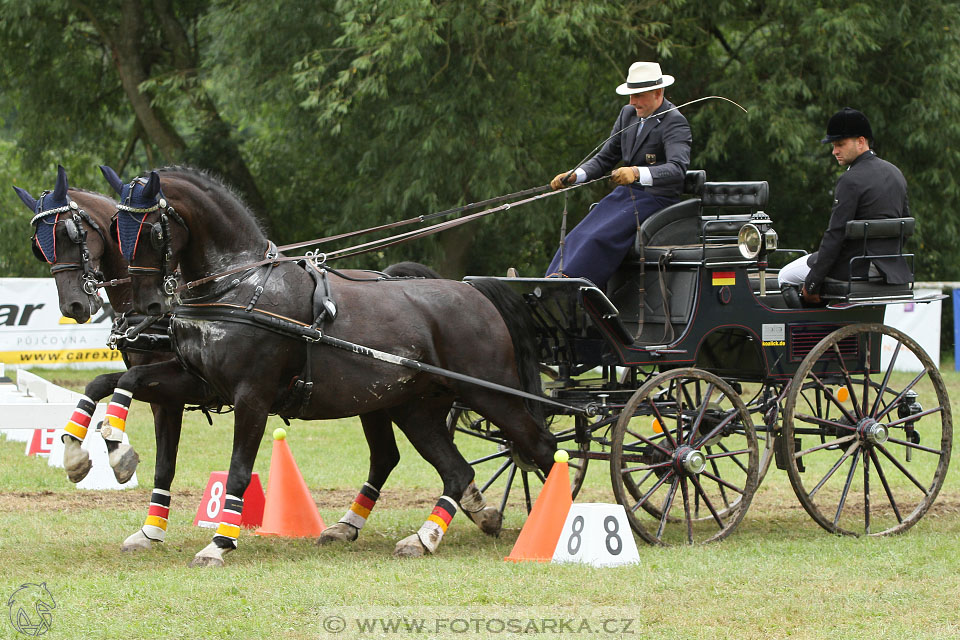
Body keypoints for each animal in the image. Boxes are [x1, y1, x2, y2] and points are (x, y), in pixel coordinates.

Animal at [101, 166, 556, 564]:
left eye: (153, 230)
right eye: (116, 229)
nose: (148, 306)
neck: (238, 286)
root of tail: (474, 291)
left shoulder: (252, 397)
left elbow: (239, 471)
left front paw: (219, 543)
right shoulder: (200, 384)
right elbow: (125, 381)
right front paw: (112, 452)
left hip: (493, 395)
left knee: (541, 447)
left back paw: (549, 527)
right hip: (415, 409)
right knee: (454, 470)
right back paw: (423, 537)